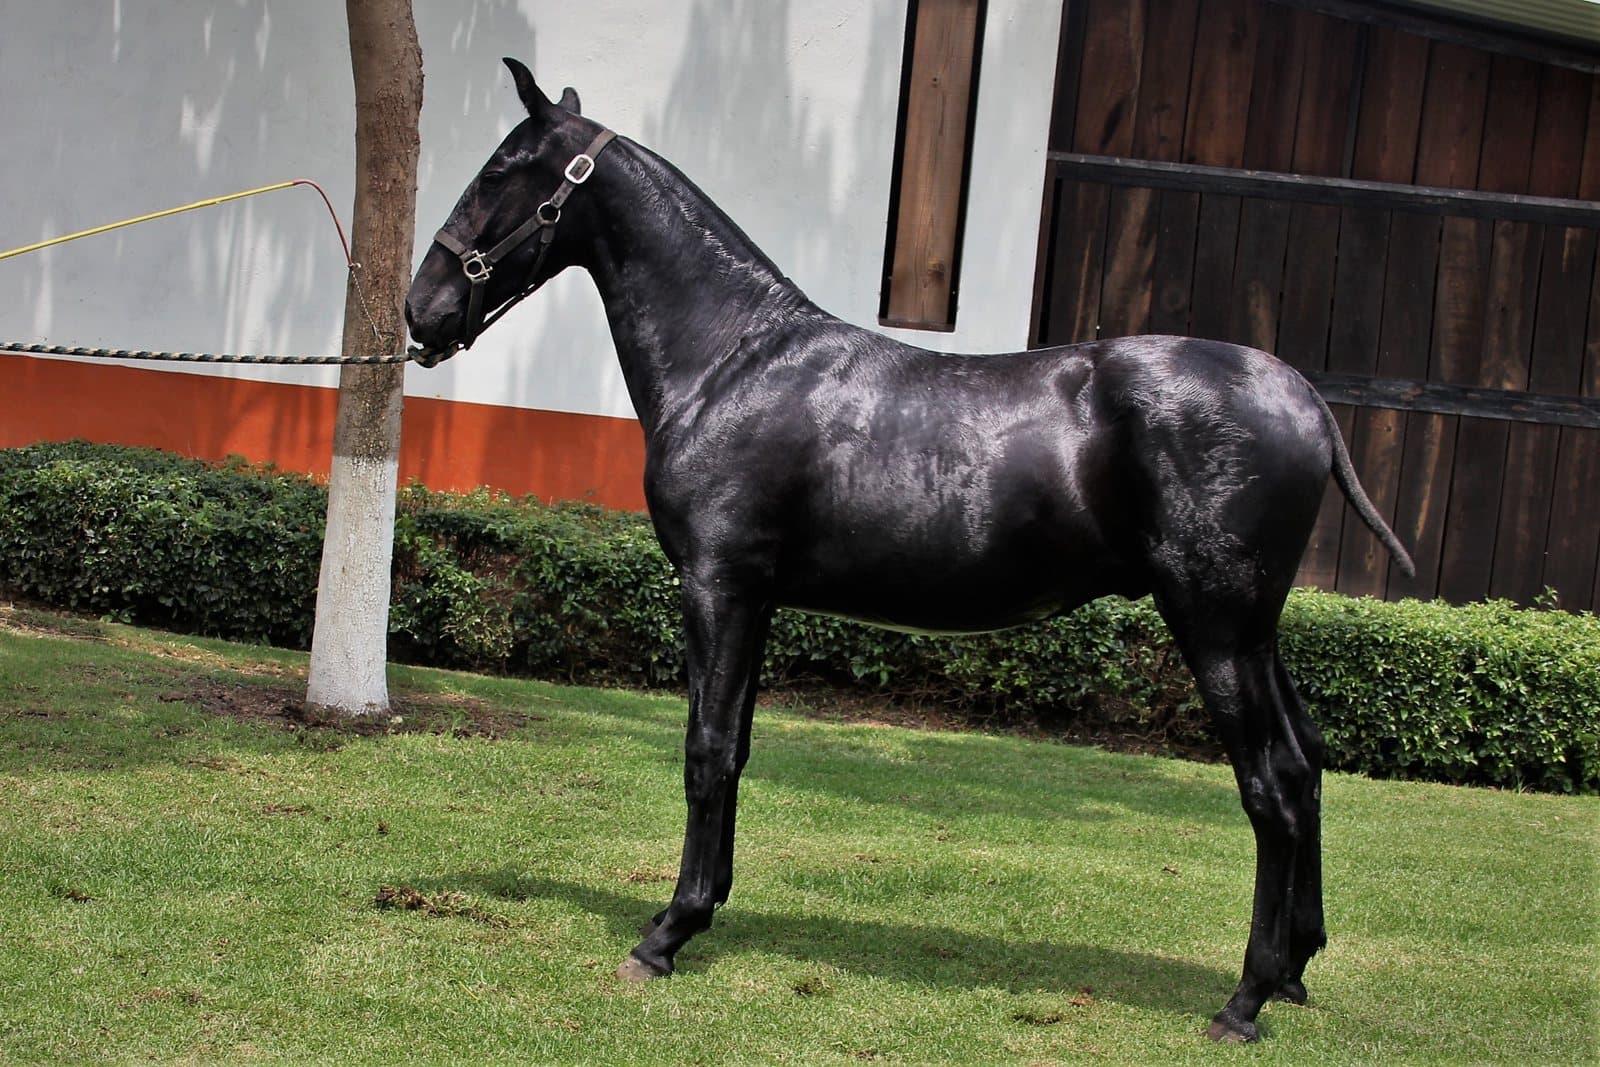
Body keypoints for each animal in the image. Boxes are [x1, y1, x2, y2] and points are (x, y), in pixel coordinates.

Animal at [405, 58, 1415, 1043]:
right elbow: (736, 747)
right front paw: (701, 907)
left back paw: (1244, 1000)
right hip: (1253, 631)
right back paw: (1295, 967)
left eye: (501, 170)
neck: (732, 360)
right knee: (1307, 759)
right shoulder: (757, 597)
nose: (423, 307)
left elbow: (705, 747)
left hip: (1214, 627)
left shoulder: (718, 585)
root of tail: (1302, 398)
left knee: (1272, 784)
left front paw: (666, 933)